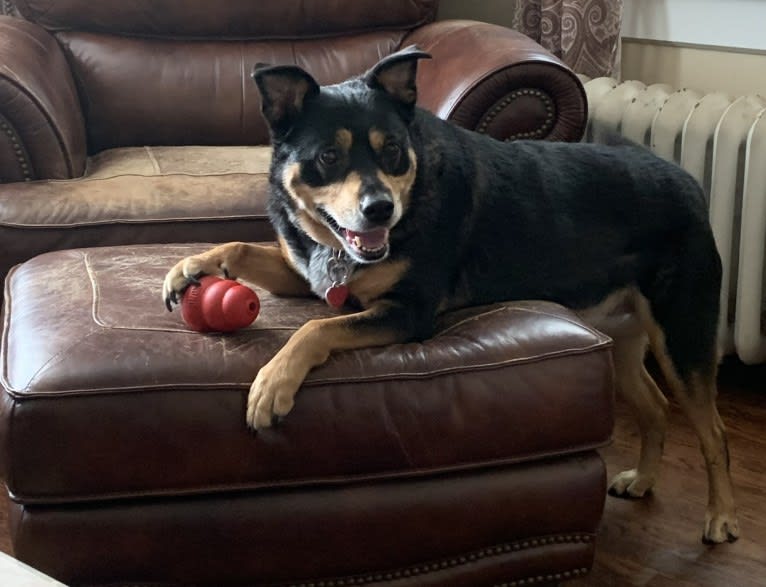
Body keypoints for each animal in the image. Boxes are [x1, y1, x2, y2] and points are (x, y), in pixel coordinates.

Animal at [160, 46, 736, 548]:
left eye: (393, 151)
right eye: (328, 156)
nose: (379, 209)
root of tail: (688, 180)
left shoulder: (408, 312)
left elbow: (315, 327)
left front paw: (273, 383)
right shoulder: (313, 275)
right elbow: (242, 247)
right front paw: (189, 268)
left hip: (683, 333)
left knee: (713, 430)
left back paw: (720, 519)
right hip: (619, 340)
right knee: (657, 409)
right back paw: (642, 480)